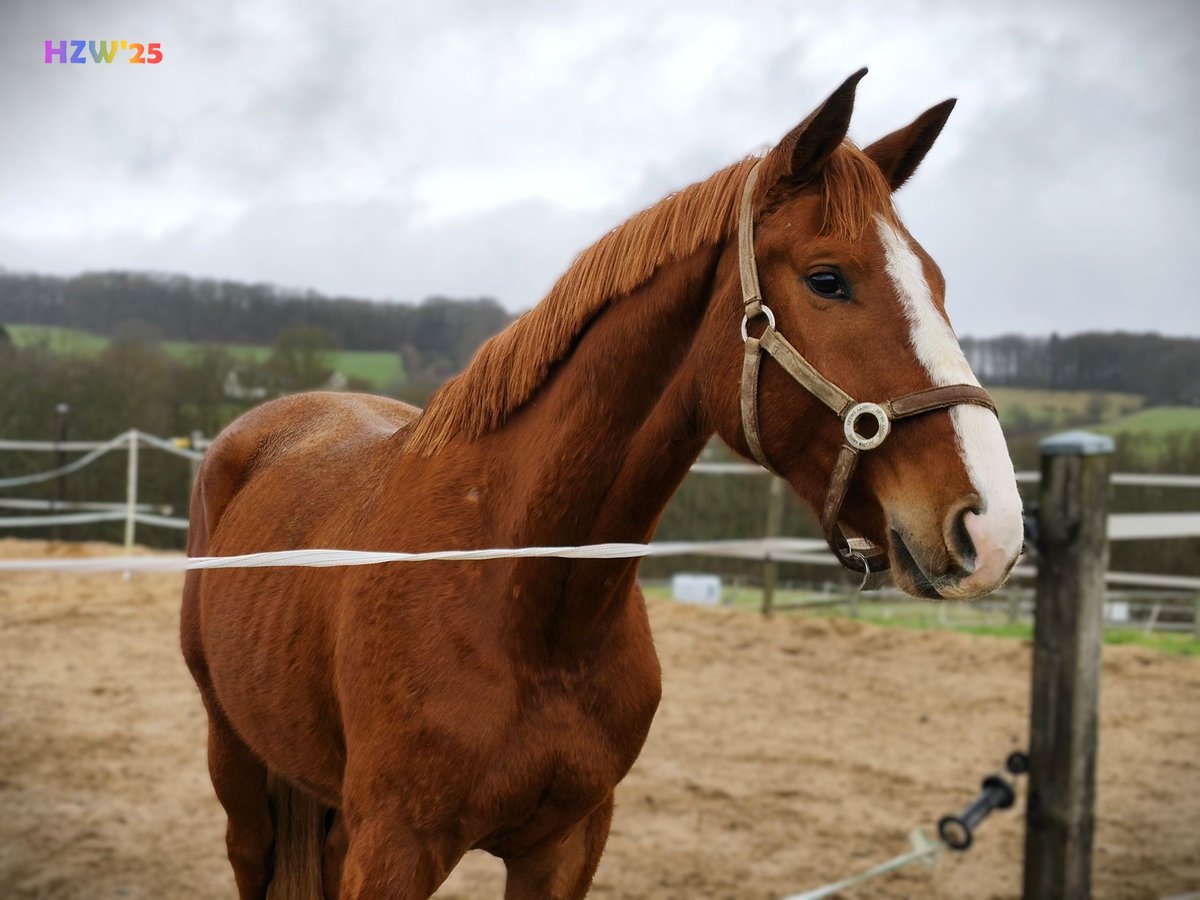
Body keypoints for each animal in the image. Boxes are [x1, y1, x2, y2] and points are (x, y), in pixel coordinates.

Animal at [180, 72, 1022, 900]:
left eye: (938, 283)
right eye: (828, 279)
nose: (993, 529)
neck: (525, 602)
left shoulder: (567, 843)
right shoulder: (395, 848)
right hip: (236, 766)